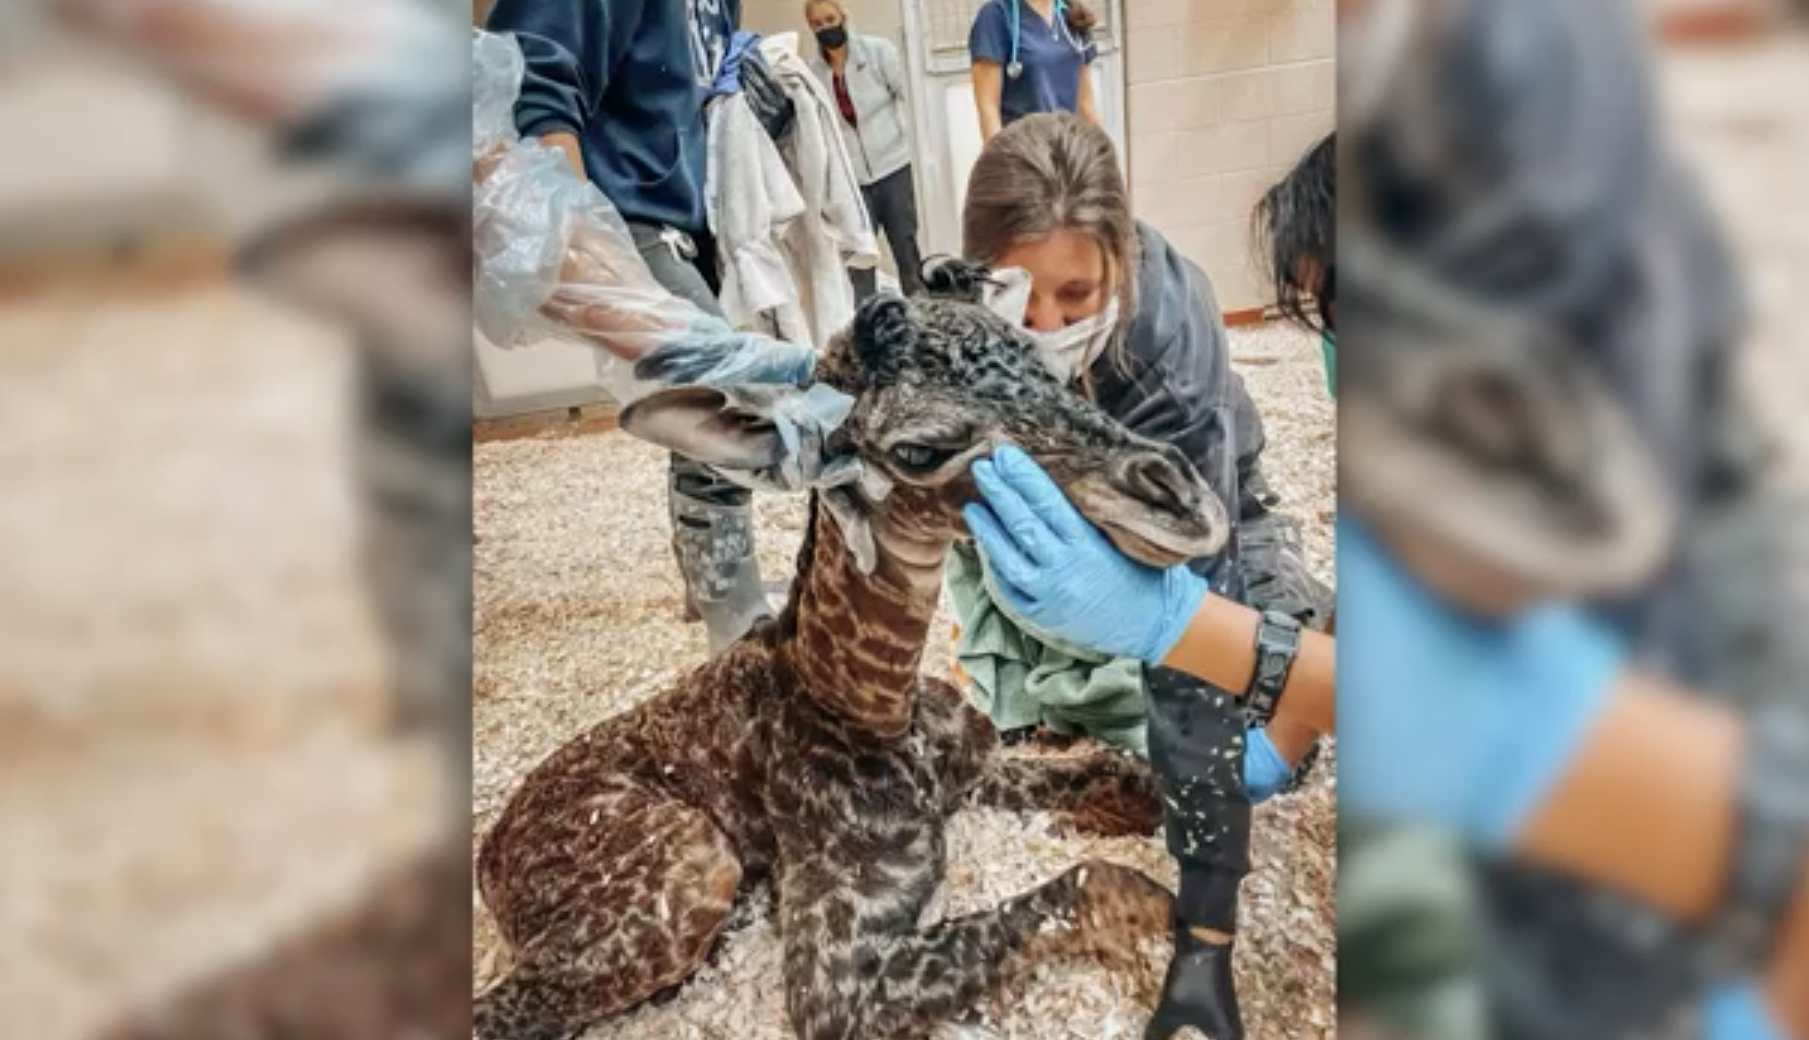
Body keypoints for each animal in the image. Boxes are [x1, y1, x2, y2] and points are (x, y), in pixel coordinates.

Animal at [473, 291, 1230, 1040]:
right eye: (919, 449)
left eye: (1052, 369)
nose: (1185, 501)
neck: (867, 702)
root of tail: (489, 859)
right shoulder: (836, 977)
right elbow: (1108, 883)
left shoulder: (971, 773)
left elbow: (1125, 775)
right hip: (691, 864)